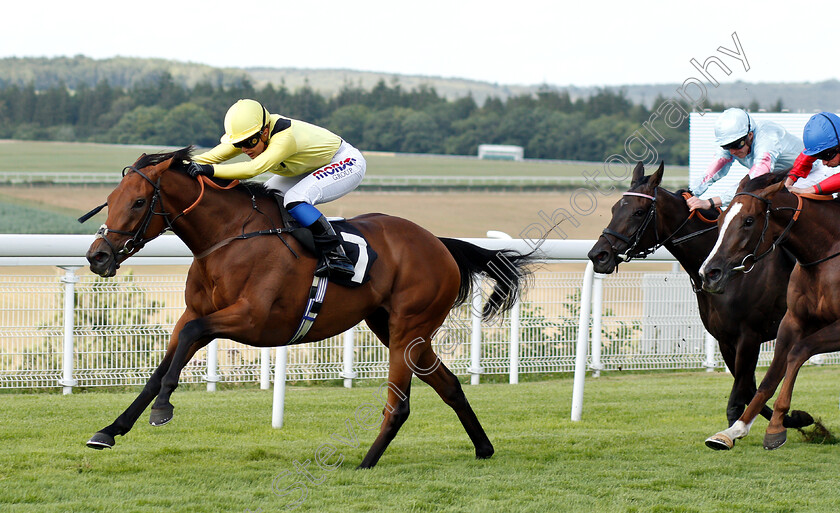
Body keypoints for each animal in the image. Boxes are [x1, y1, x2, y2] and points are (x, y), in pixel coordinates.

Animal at [80, 146, 532, 466]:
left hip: (408, 327)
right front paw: (109, 430)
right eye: (110, 199)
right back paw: (483, 448)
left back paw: (365, 462)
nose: (98, 256)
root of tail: (438, 243)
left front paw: (162, 410)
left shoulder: (252, 319)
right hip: (394, 329)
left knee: (400, 404)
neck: (228, 237)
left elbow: (187, 342)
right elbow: (161, 367)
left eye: (139, 202)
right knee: (449, 385)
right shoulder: (197, 313)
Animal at [592, 163, 812, 428]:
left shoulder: (749, 336)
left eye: (638, 212)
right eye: (615, 208)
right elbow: (749, 390)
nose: (598, 255)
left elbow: (739, 399)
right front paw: (796, 418)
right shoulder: (726, 339)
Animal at [704, 175, 840, 448]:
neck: (826, 252)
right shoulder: (791, 321)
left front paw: (777, 425)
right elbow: (769, 377)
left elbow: (799, 351)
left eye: (748, 221)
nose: (709, 273)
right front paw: (734, 430)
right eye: (720, 219)